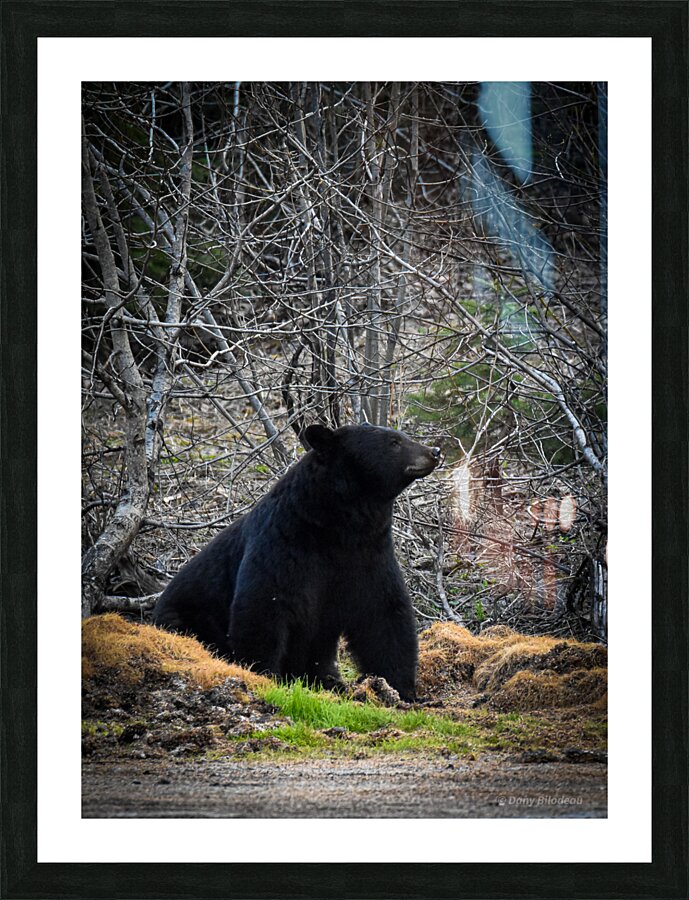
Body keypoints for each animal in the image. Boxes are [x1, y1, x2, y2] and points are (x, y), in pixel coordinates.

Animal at [153, 423, 441, 700]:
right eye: (394, 442)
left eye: (400, 436)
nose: (434, 451)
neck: (339, 527)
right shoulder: (283, 544)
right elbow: (262, 607)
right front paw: (263, 675)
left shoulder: (369, 555)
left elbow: (384, 613)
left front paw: (402, 689)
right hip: (186, 617)